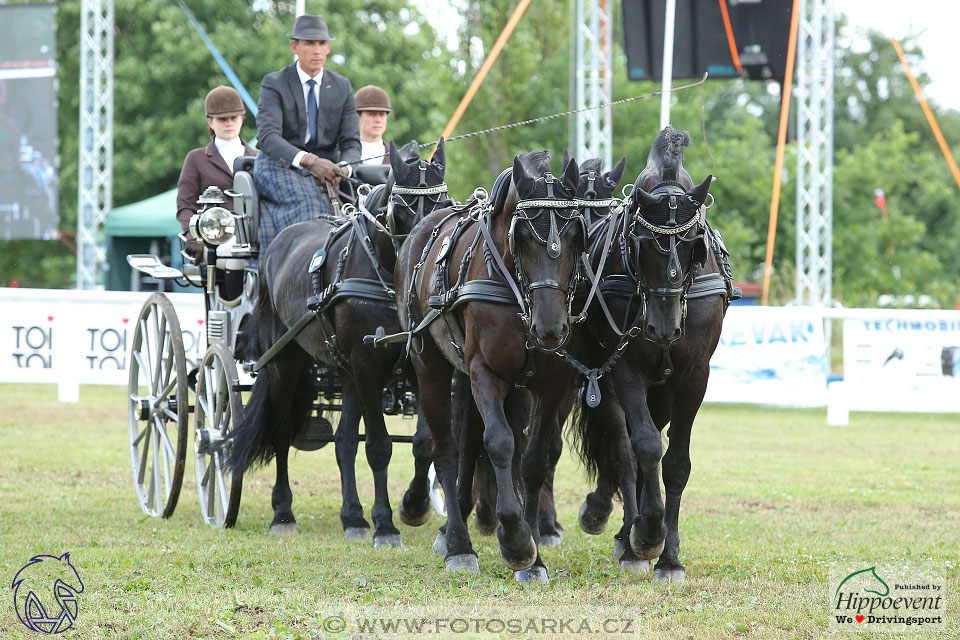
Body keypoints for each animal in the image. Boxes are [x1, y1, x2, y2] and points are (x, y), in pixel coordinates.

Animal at [227, 139, 452, 544]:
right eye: (400, 210)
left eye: (445, 205)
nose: (422, 263)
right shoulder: (366, 364)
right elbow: (378, 447)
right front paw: (385, 525)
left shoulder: (413, 363)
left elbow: (423, 442)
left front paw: (414, 506)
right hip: (286, 362)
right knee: (281, 430)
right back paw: (283, 513)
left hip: (346, 372)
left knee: (345, 440)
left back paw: (353, 518)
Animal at [396, 151, 584, 580]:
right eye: (523, 235)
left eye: (575, 235)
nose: (551, 327)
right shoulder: (484, 371)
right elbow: (499, 442)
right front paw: (515, 541)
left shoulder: (552, 383)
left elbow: (532, 459)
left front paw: (534, 557)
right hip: (431, 367)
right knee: (446, 448)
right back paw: (458, 544)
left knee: (468, 440)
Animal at [568, 125, 728, 580]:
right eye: (641, 243)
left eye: (693, 244)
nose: (663, 328)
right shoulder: (625, 369)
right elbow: (642, 448)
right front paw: (646, 535)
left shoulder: (694, 376)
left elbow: (675, 463)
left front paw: (670, 556)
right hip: (603, 380)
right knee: (624, 449)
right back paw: (627, 535)